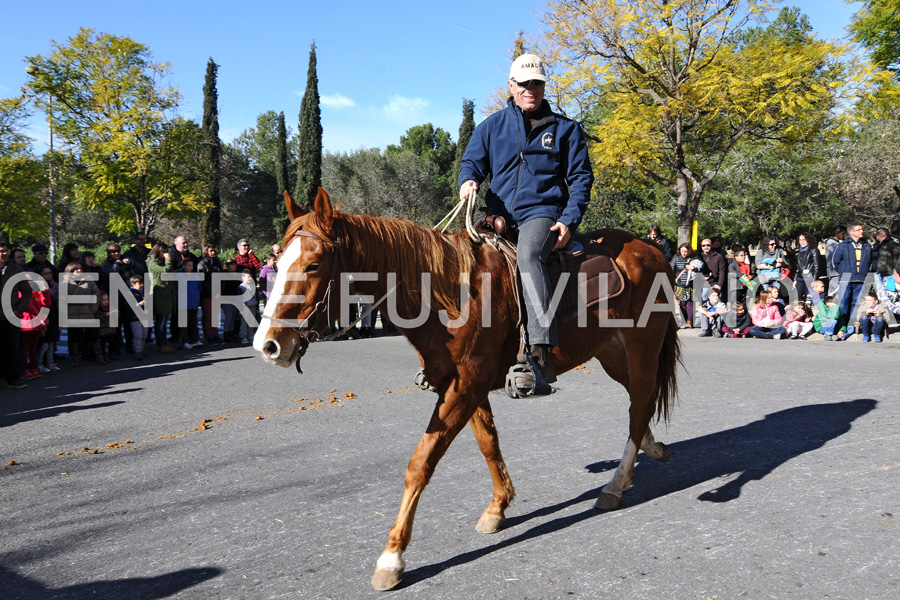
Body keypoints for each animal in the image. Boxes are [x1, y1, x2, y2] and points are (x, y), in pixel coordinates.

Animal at [255, 188, 684, 592]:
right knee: (640, 405)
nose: (268, 344)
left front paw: (392, 557)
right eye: (277, 262)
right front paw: (498, 508)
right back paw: (649, 451)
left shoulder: (465, 388)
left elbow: (420, 465)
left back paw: (615, 485)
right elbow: (488, 445)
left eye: (313, 264)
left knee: (639, 405)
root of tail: (650, 250)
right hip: (611, 353)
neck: (452, 294)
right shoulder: (463, 387)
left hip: (642, 348)